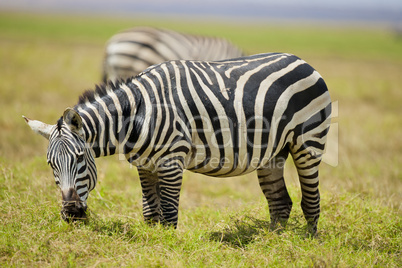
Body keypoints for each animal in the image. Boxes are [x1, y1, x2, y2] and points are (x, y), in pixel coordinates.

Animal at [25, 52, 332, 234]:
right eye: (51, 165)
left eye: (79, 158)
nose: (71, 214)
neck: (137, 113)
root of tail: (301, 60)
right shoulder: (144, 165)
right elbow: (151, 211)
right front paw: (152, 243)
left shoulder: (172, 160)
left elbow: (170, 211)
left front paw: (168, 247)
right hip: (271, 153)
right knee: (280, 202)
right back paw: (272, 241)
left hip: (308, 143)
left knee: (311, 199)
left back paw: (307, 241)